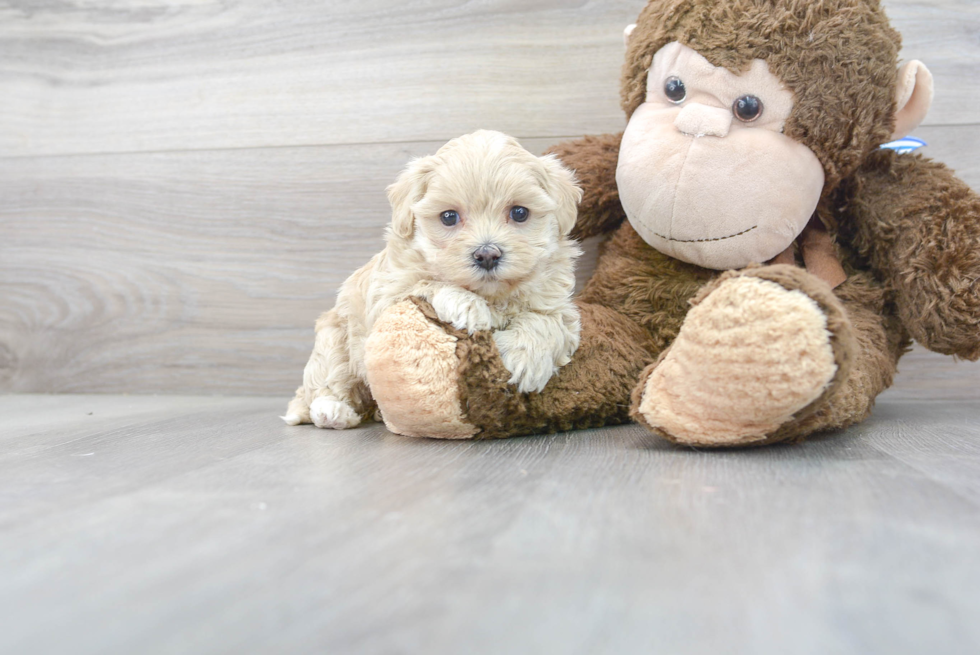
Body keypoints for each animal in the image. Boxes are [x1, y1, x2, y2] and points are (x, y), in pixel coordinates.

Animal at [282, 133, 580, 430]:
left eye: (519, 212)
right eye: (448, 216)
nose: (487, 254)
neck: (492, 295)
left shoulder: (560, 307)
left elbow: (549, 322)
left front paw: (524, 358)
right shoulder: (386, 295)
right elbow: (426, 283)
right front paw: (467, 305)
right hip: (334, 338)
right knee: (326, 380)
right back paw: (332, 410)